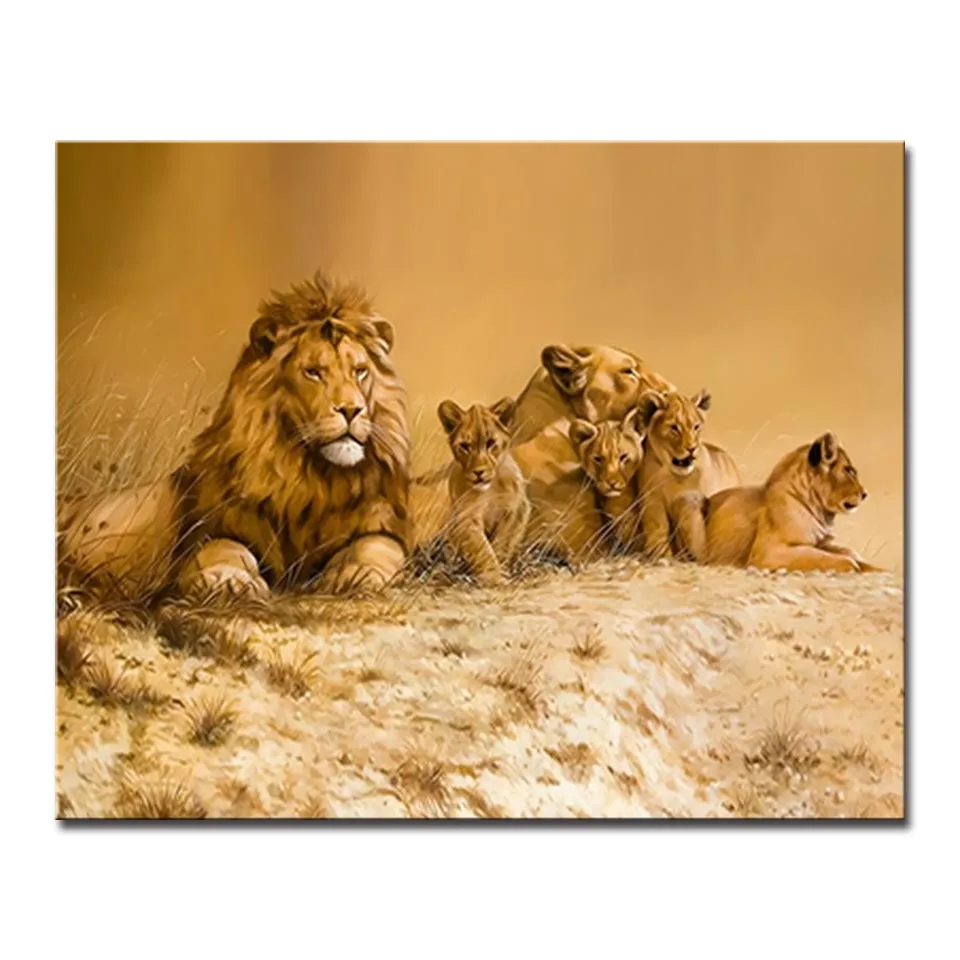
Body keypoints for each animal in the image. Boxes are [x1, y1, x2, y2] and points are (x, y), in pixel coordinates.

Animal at [59, 270, 411, 598]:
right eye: (313, 372)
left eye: (360, 371)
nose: (352, 410)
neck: (311, 479)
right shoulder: (202, 535)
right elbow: (224, 549)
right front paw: (231, 581)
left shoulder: (378, 525)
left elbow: (379, 546)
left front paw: (359, 573)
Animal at [434, 397, 530, 586]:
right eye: (464, 446)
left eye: (490, 443)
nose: (479, 472)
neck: (489, 490)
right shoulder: (465, 518)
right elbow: (482, 550)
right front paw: (493, 577)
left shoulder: (516, 509)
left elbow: (502, 543)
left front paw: (501, 574)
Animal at [635, 388, 741, 560]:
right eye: (674, 428)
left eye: (696, 427)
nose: (692, 448)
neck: (676, 477)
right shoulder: (652, 502)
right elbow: (658, 531)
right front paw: (661, 556)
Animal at [672, 431, 881, 573]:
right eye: (849, 470)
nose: (865, 494)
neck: (821, 512)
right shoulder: (769, 552)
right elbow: (825, 557)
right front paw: (851, 565)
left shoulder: (821, 542)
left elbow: (847, 552)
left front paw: (873, 567)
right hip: (690, 500)